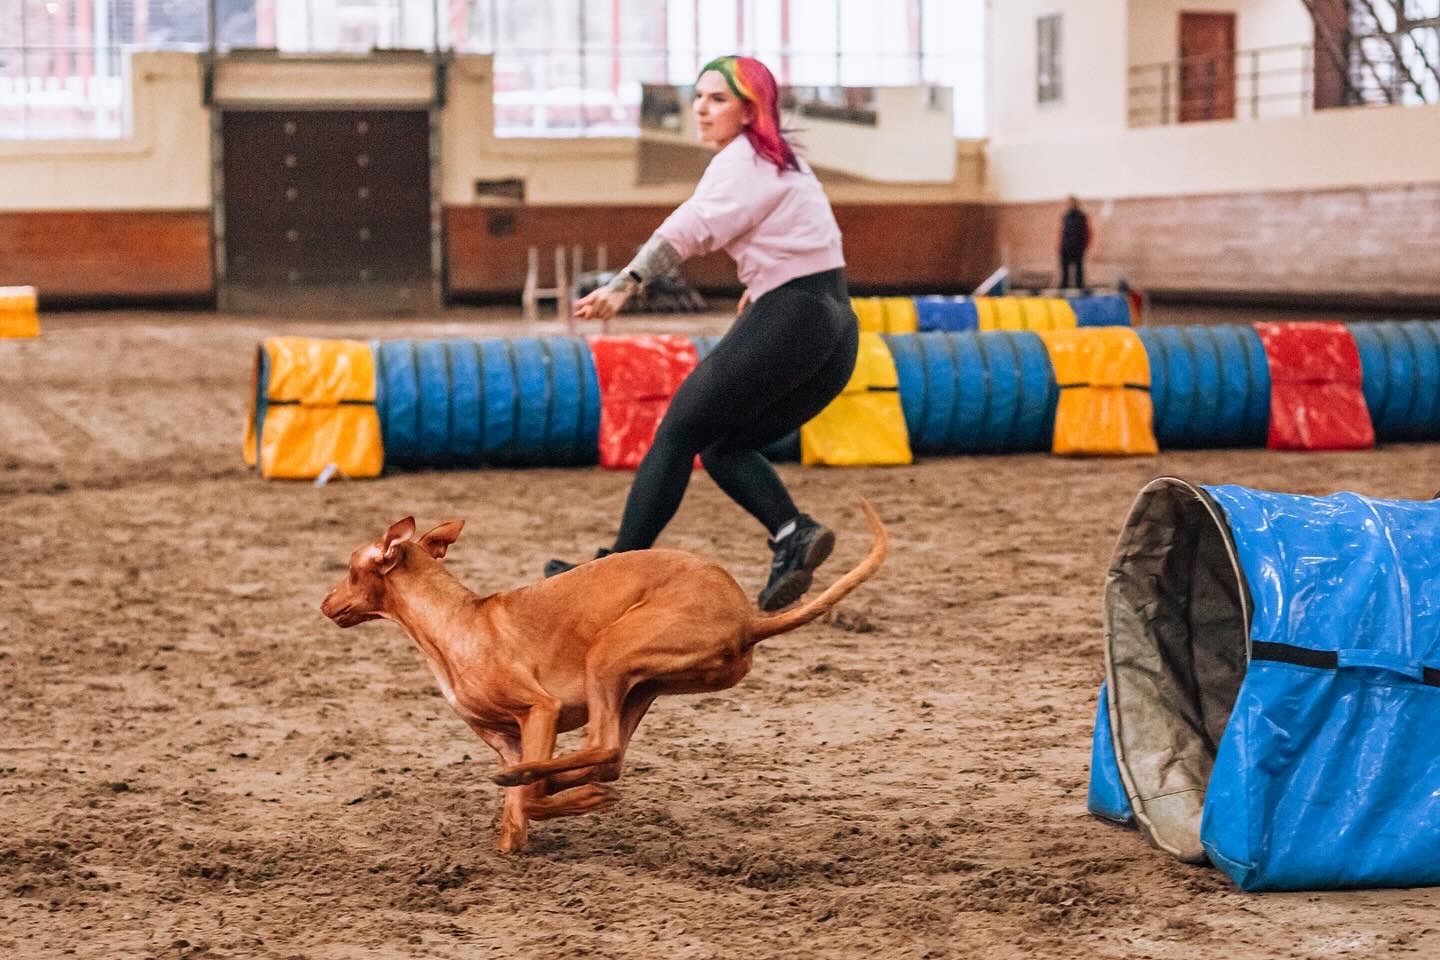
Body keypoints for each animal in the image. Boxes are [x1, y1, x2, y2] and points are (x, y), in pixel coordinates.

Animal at [324, 500, 887, 852]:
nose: (324, 603)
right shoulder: (507, 739)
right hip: (642, 685)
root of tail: (749, 617)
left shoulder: (540, 711)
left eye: (349, 570)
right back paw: (564, 781)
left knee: (600, 750)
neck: (456, 620)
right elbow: (516, 816)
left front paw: (549, 798)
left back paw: (574, 788)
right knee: (609, 756)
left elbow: (527, 799)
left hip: (608, 655)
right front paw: (512, 842)